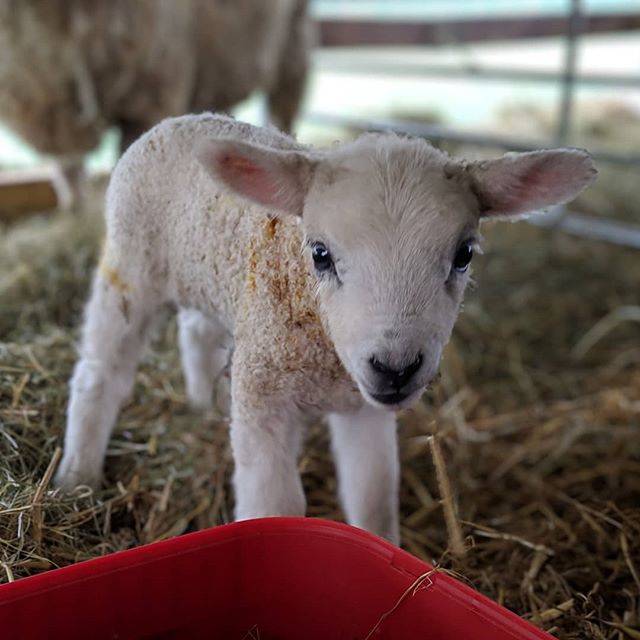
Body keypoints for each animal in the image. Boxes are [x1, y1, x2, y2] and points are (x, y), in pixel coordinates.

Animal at [52, 112, 596, 544]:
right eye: (320, 254)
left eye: (463, 255)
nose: (396, 368)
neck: (327, 359)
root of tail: (178, 119)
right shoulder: (263, 396)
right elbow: (274, 505)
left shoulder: (364, 407)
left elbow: (372, 498)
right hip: (131, 266)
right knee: (99, 375)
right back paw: (76, 477)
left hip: (208, 281)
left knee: (195, 330)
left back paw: (201, 405)